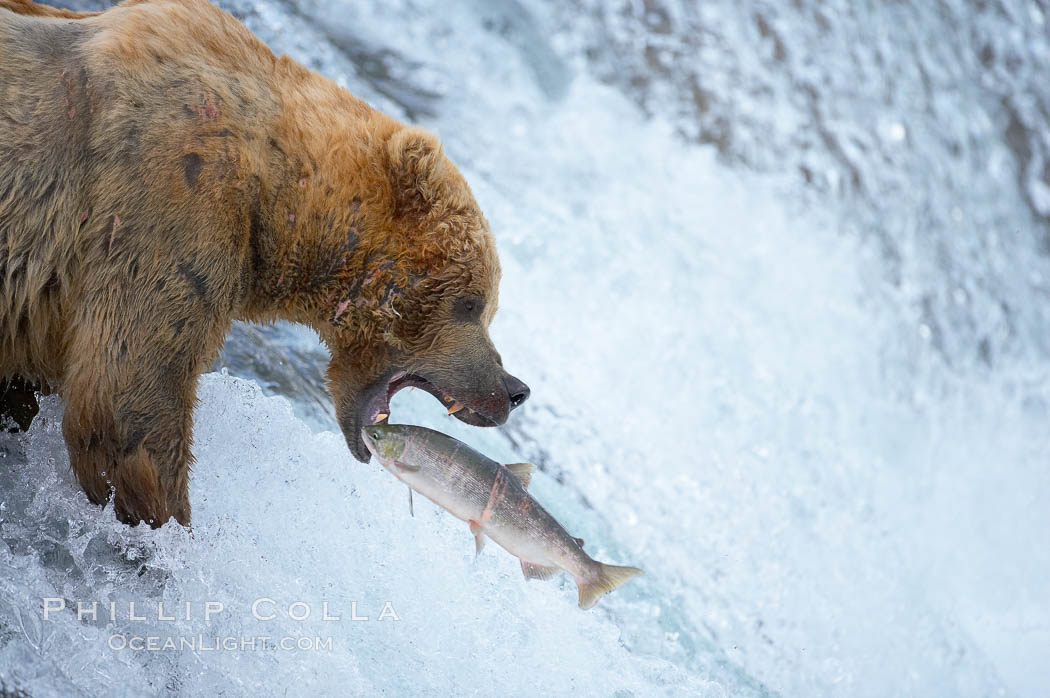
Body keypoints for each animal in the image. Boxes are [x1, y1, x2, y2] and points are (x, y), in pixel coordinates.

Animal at [0, 0, 525, 524]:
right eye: (472, 302)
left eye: (489, 304)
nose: (513, 388)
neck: (277, 197)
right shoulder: (169, 202)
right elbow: (127, 404)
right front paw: (172, 525)